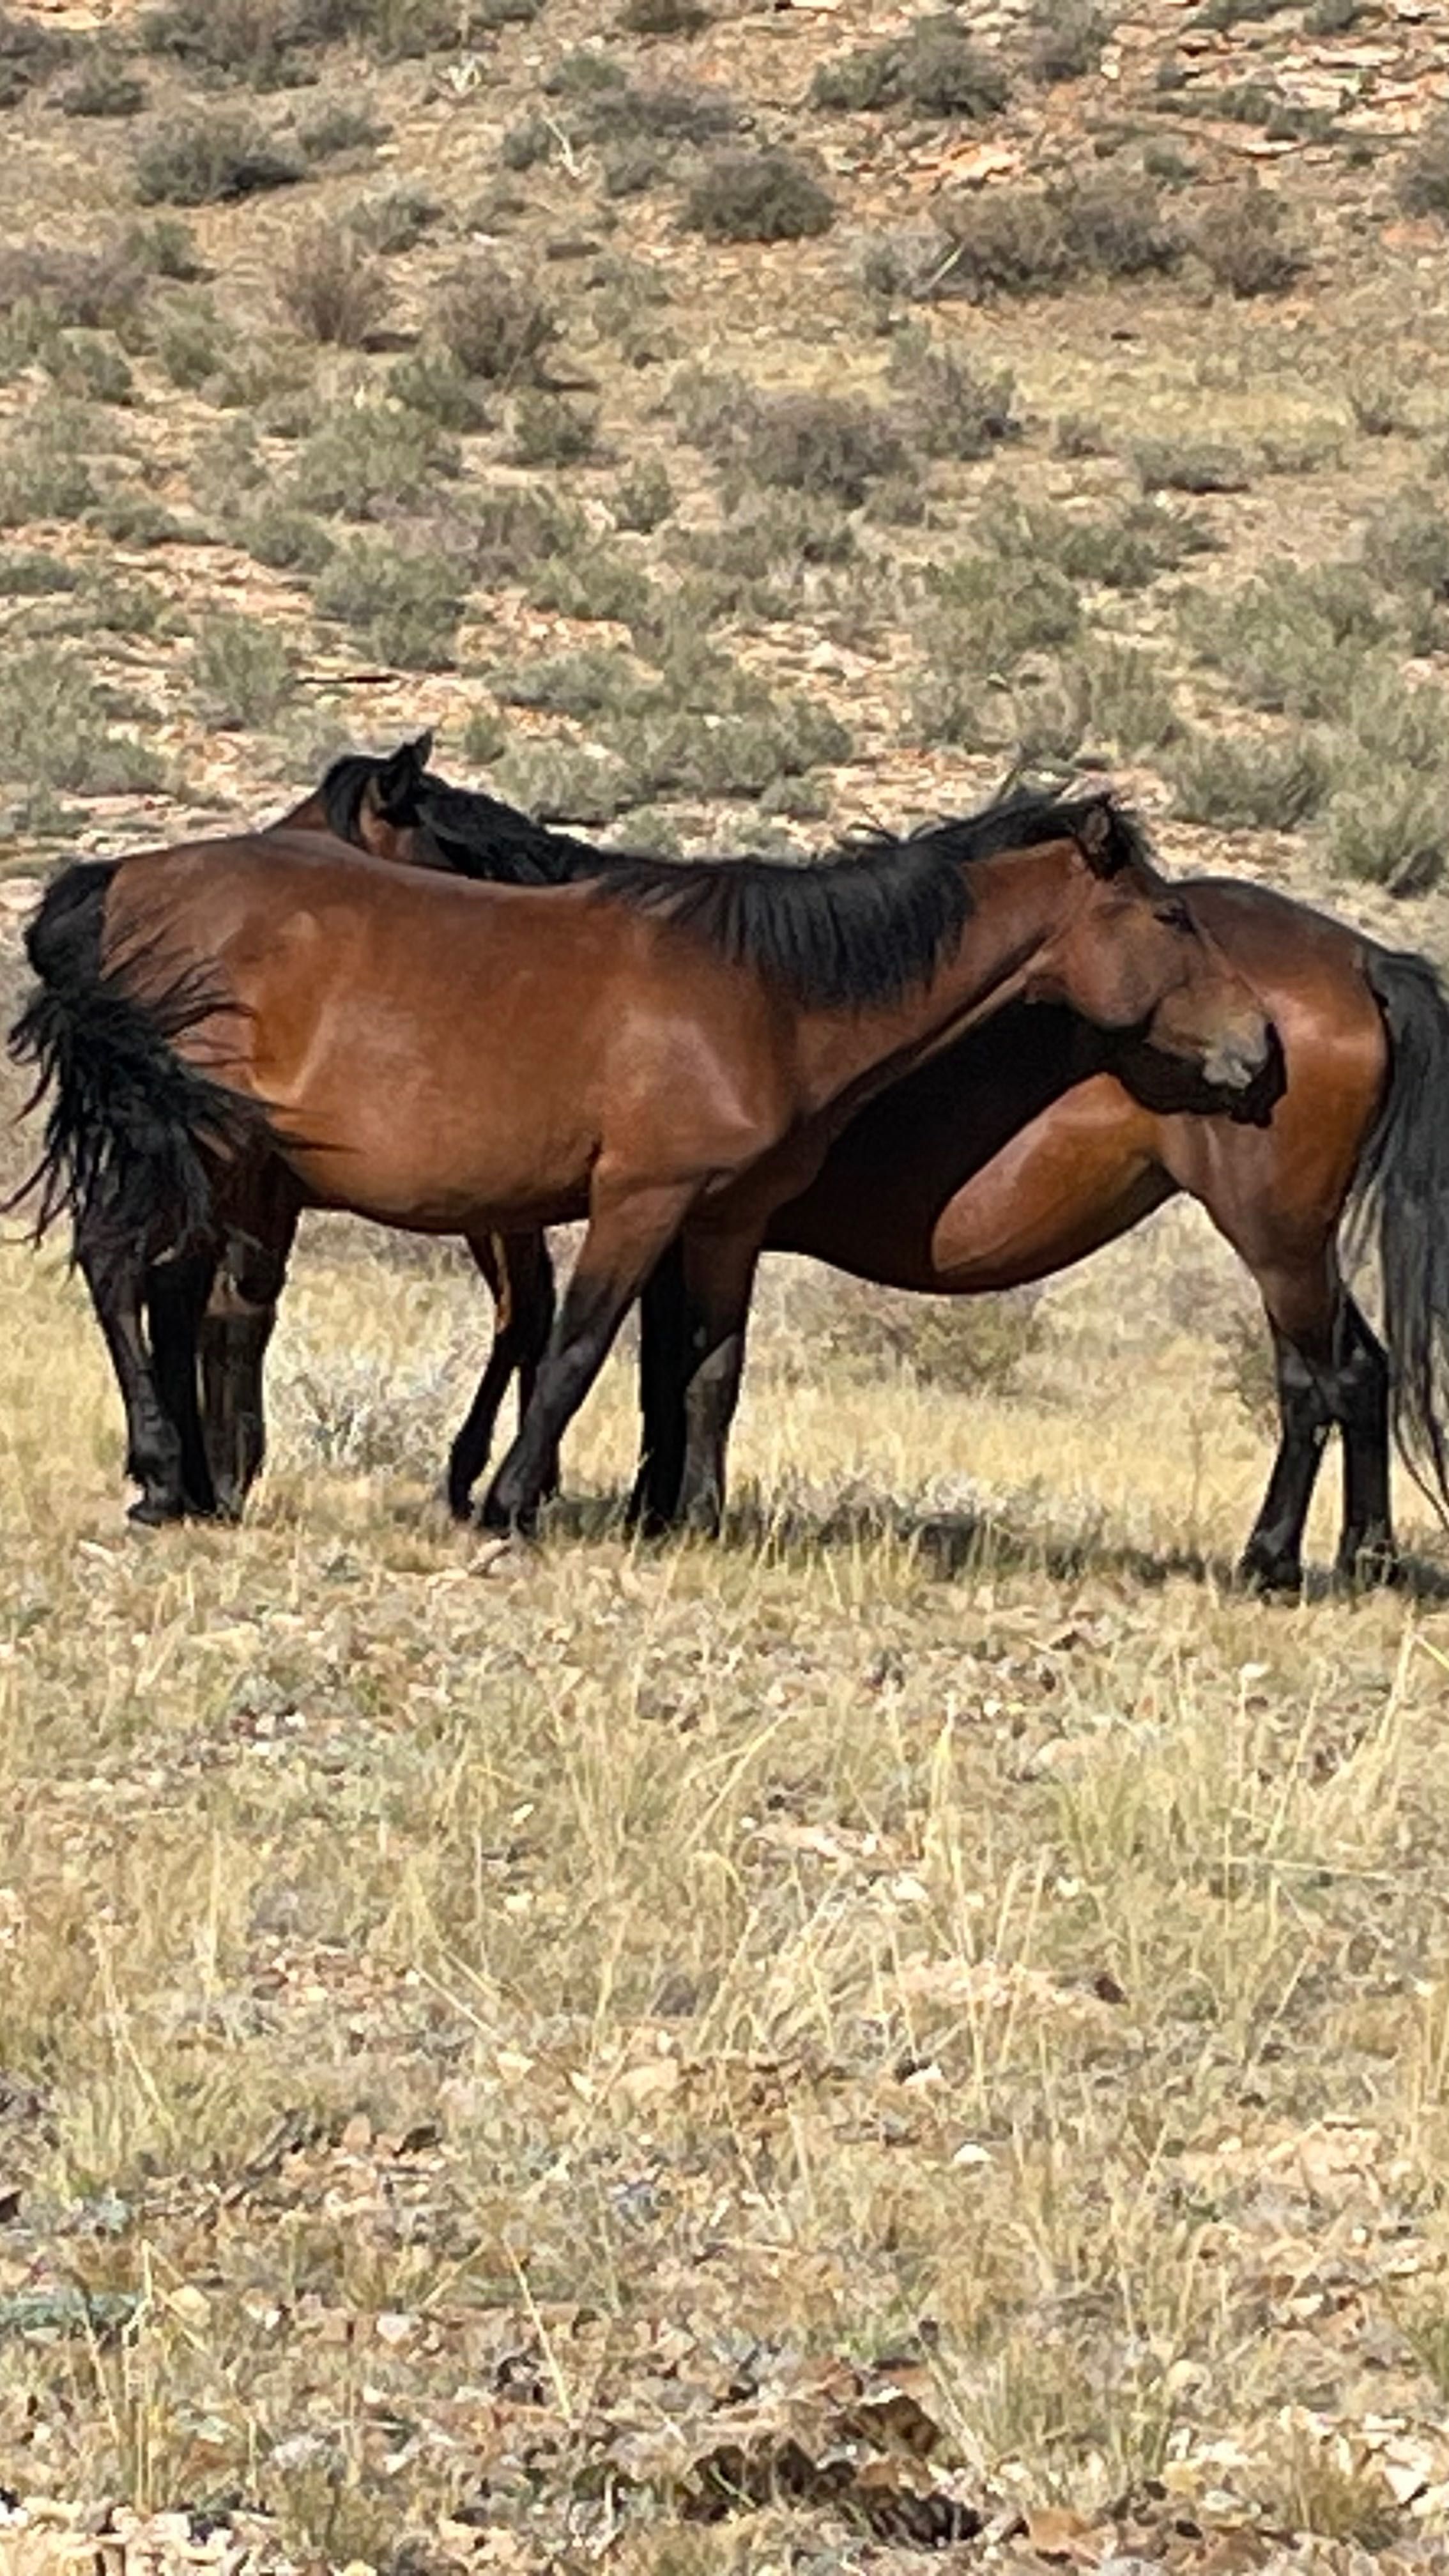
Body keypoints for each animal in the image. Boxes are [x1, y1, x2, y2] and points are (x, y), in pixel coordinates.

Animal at [8, 783, 1263, 1535]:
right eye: (1169, 917)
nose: (1260, 1043)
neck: (764, 990)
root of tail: (116, 881)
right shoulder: (637, 1201)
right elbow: (577, 1348)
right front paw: (511, 1502)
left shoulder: (722, 1221)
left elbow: (708, 1370)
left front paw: (691, 1520)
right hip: (191, 1144)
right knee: (120, 1271)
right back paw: (163, 1477)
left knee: (161, 1288)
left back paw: (188, 1485)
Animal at [296, 742, 1443, 1586]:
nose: (1252, 1045)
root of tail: (1359, 960)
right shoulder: (698, 1221)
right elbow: (681, 1371)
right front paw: (658, 1510)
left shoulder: (654, 1209)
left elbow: (597, 1351)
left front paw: (533, 1496)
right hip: (1294, 1238)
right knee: (1361, 1370)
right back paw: (1365, 1557)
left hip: (1273, 1236)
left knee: (1311, 1380)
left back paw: (1271, 1561)